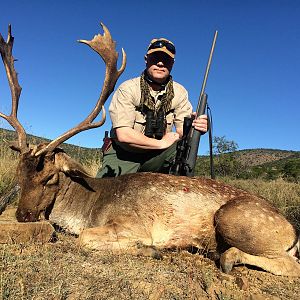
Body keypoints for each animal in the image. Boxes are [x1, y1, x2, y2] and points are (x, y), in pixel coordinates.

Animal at [0, 22, 300, 276]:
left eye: (49, 177)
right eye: (18, 174)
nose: (22, 215)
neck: (92, 206)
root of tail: (292, 232)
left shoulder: (133, 224)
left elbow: (85, 239)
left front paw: (152, 250)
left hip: (234, 219)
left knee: (290, 264)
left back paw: (226, 258)